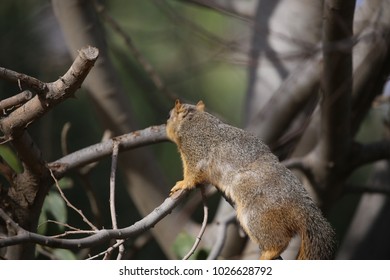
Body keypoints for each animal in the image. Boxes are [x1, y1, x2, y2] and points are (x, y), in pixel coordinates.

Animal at [165, 100, 336, 260]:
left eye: (169, 116)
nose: (165, 125)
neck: (194, 119)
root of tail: (301, 208)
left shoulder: (196, 148)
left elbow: (193, 172)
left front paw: (182, 184)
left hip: (256, 214)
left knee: (280, 241)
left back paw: (269, 252)